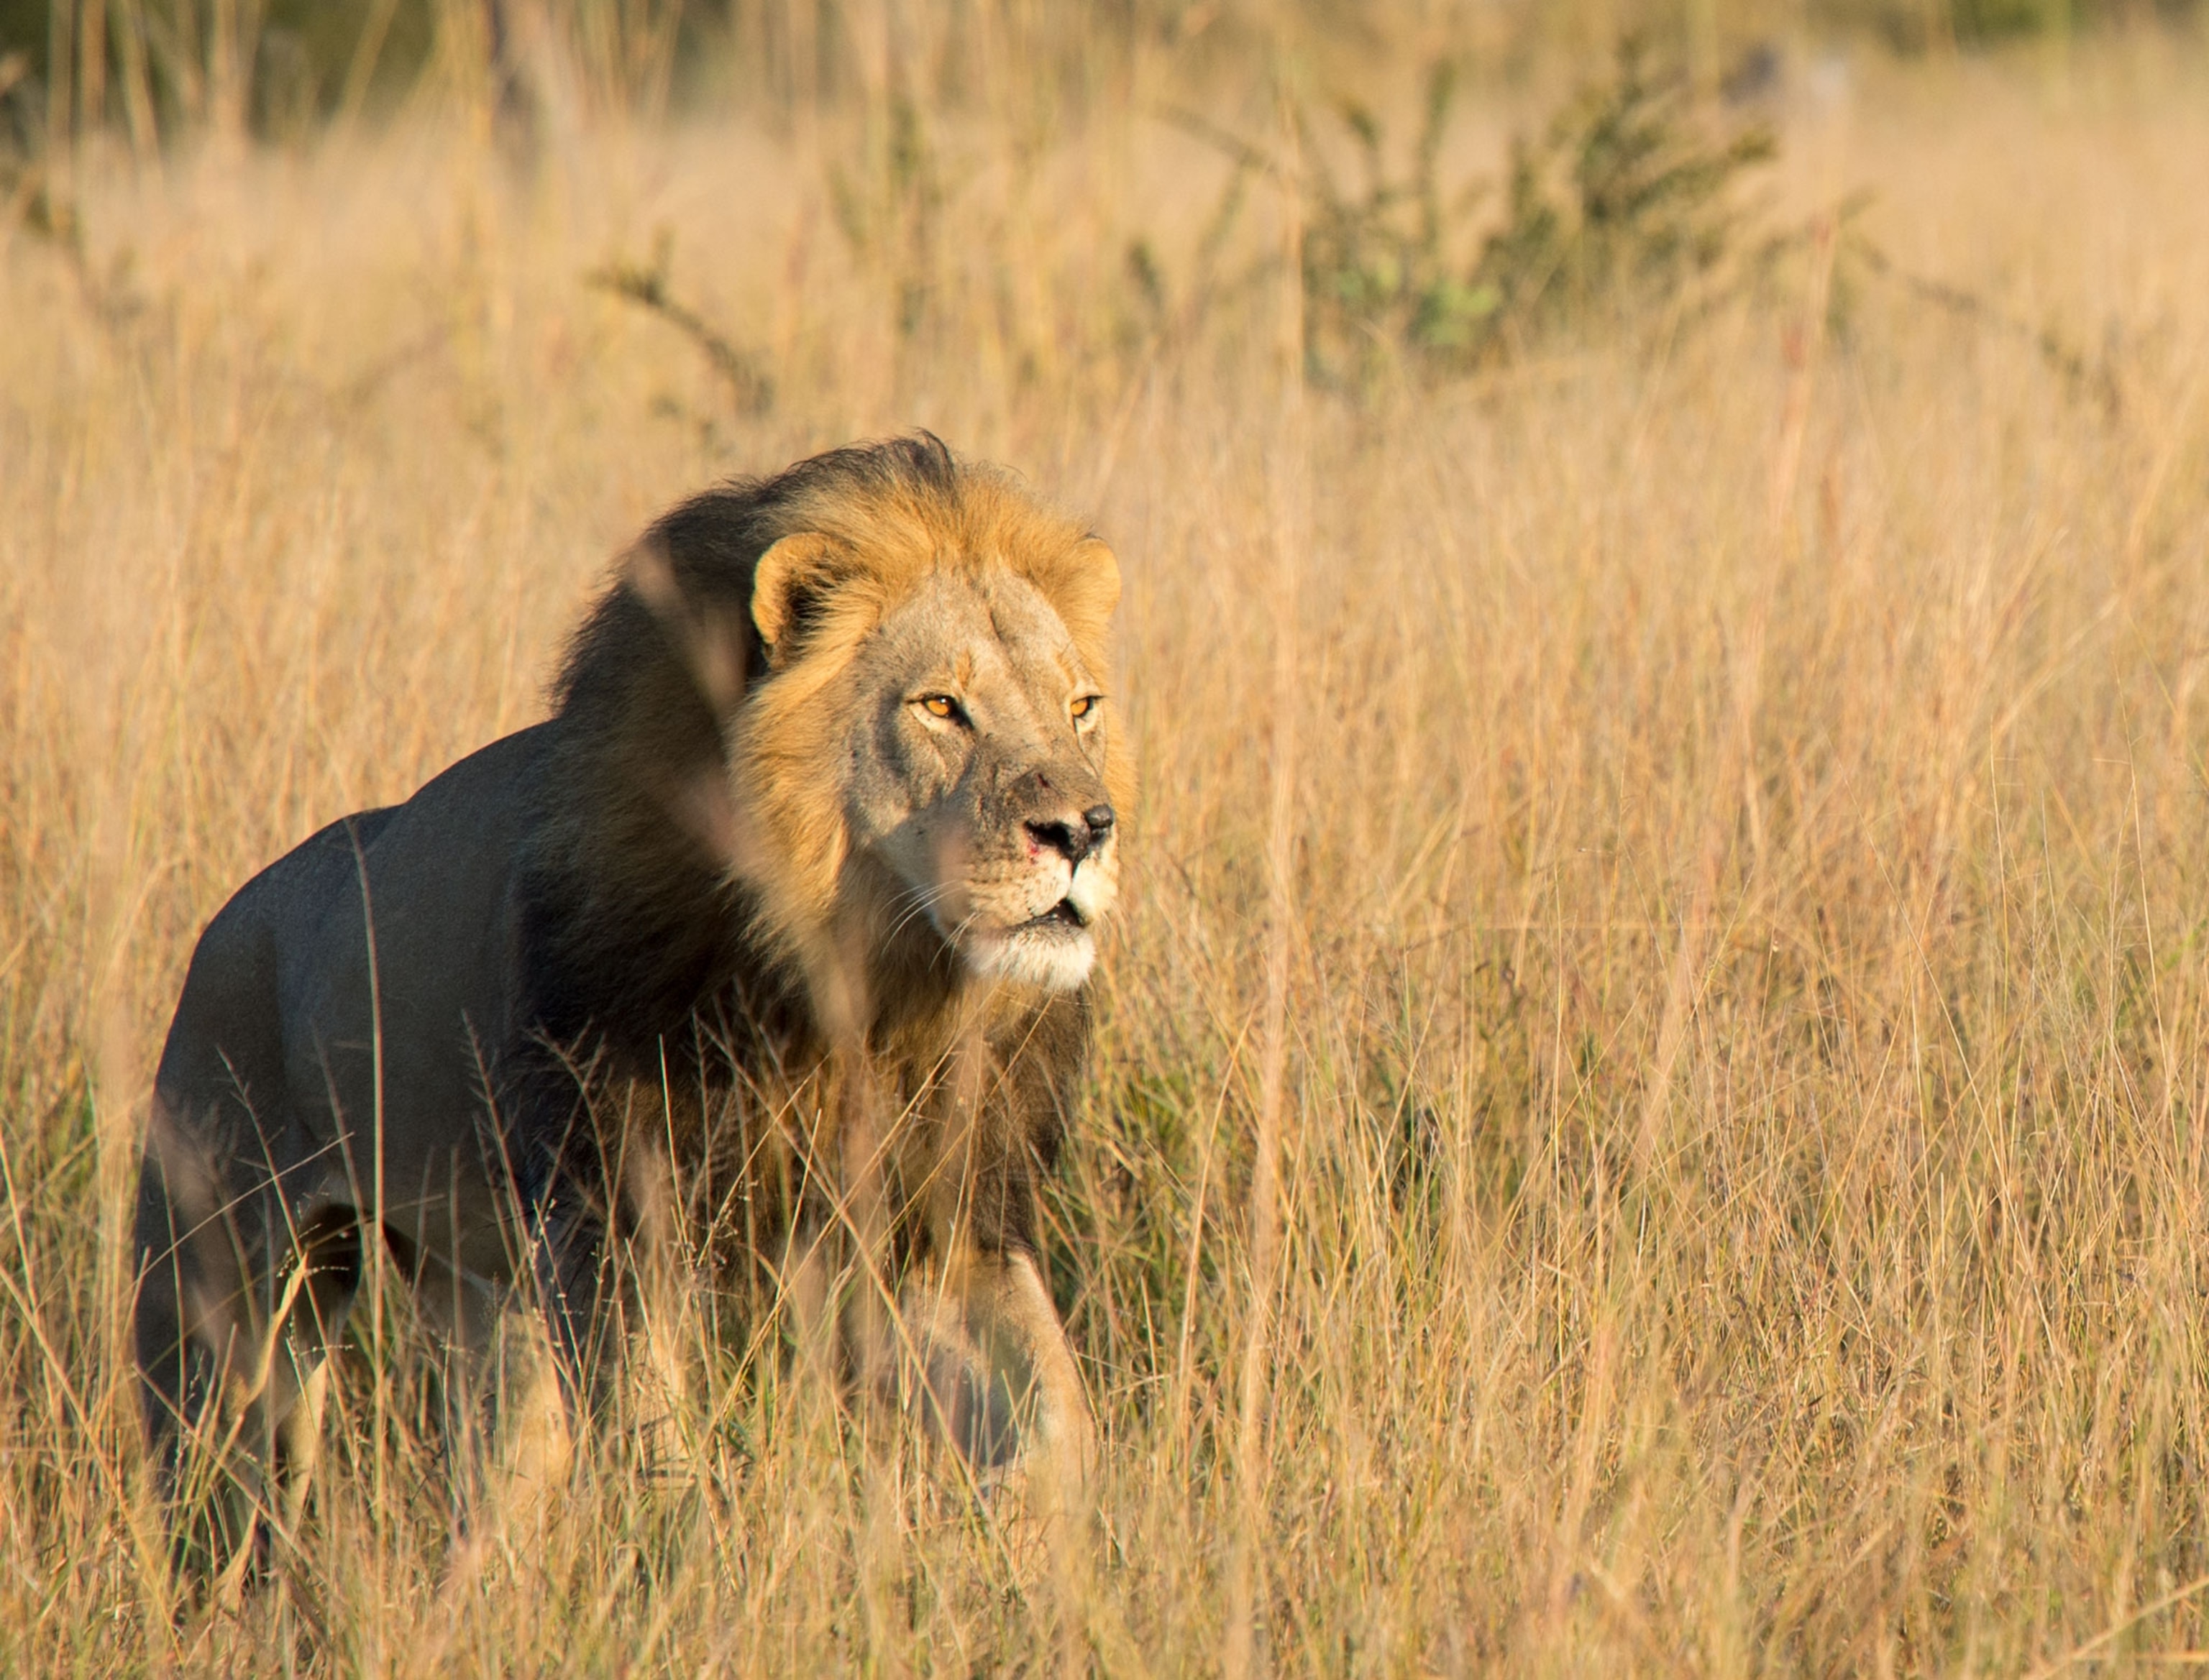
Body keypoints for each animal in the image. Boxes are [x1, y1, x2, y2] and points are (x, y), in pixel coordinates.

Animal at [132, 434, 1129, 1557]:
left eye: (1080, 707)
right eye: (940, 707)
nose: (1085, 829)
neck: (855, 978)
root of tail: (230, 919)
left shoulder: (938, 1221)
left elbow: (1053, 1415)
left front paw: (1039, 1553)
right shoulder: (614, 1216)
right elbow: (656, 1444)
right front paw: (699, 1559)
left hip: (485, 1304)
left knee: (498, 1484)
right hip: (223, 1293)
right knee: (219, 1476)